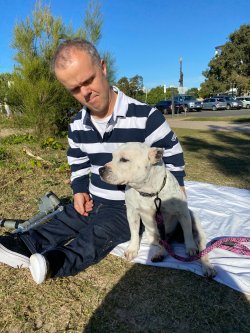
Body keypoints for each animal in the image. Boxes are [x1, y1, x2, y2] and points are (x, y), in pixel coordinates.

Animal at [100, 141, 216, 276]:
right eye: (112, 157)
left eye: (124, 160)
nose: (100, 169)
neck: (148, 192)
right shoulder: (132, 213)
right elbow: (134, 233)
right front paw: (132, 249)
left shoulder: (183, 213)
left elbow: (187, 232)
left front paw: (190, 247)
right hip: (154, 236)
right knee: (164, 243)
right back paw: (160, 254)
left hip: (195, 225)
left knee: (201, 248)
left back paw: (207, 266)